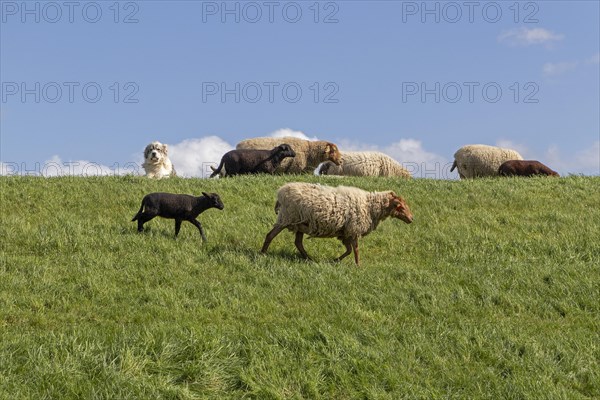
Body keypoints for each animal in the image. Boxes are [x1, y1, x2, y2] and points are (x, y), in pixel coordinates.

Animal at [260, 184, 414, 266]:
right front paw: (358, 265)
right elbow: (356, 250)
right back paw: (262, 254)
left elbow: (349, 250)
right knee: (270, 235)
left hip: (301, 224)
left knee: (298, 243)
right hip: (286, 218)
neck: (370, 206)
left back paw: (309, 259)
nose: (411, 219)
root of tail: (280, 193)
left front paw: (335, 260)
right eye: (401, 207)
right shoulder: (354, 229)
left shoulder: (346, 233)